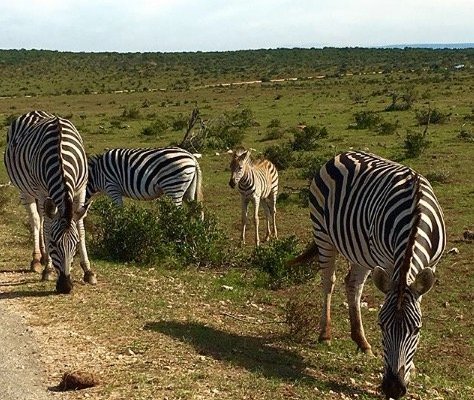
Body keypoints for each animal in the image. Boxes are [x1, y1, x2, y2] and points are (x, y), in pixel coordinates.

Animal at [4, 110, 97, 294]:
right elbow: (47, 228)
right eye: (54, 243)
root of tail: (33, 112)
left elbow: (81, 227)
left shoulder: (81, 189)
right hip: (25, 190)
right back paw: (37, 260)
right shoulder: (42, 191)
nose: (65, 287)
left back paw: (43, 257)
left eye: (75, 244)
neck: (61, 155)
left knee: (41, 218)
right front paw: (48, 269)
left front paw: (88, 271)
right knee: (36, 220)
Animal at [286, 151, 446, 400]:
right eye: (381, 325)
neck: (416, 215)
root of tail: (340, 154)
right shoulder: (389, 262)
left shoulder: (432, 264)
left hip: (360, 251)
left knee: (353, 283)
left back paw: (362, 342)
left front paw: (412, 368)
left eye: (417, 329)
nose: (393, 388)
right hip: (323, 233)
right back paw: (325, 334)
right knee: (328, 281)